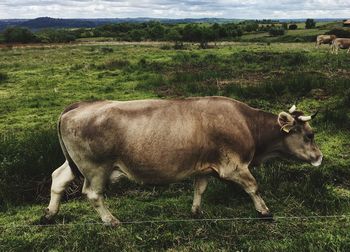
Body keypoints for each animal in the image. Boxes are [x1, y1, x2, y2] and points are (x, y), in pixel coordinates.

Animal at [42, 97, 324, 226]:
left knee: (58, 178)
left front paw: (196, 212)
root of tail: (78, 106)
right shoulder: (234, 166)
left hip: (76, 165)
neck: (247, 124)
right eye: (309, 135)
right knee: (92, 194)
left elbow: (200, 189)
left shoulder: (204, 166)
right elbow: (253, 187)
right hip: (96, 168)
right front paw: (265, 211)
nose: (320, 157)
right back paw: (111, 220)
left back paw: (49, 215)